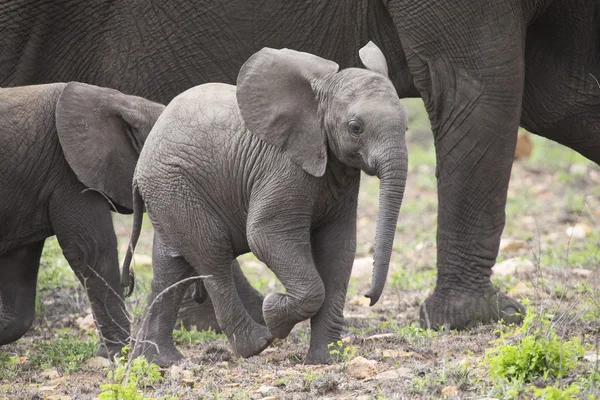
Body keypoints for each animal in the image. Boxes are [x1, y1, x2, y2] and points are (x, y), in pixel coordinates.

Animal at [124, 43, 410, 366]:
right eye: (355, 128)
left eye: (406, 126)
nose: (368, 297)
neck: (318, 96)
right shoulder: (282, 167)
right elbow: (266, 234)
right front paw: (275, 314)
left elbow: (339, 247)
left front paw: (326, 360)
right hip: (173, 184)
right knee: (212, 253)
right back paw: (257, 343)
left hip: (166, 193)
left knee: (170, 266)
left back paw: (158, 361)